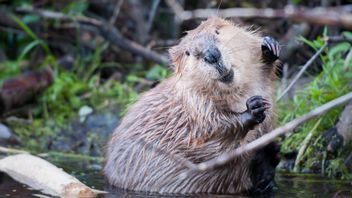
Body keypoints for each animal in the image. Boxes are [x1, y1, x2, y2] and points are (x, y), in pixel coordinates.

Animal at [104, 17, 280, 194]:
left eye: (217, 31)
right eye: (188, 53)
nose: (211, 55)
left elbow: (264, 74)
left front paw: (269, 47)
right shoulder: (195, 106)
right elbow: (212, 136)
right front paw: (253, 108)